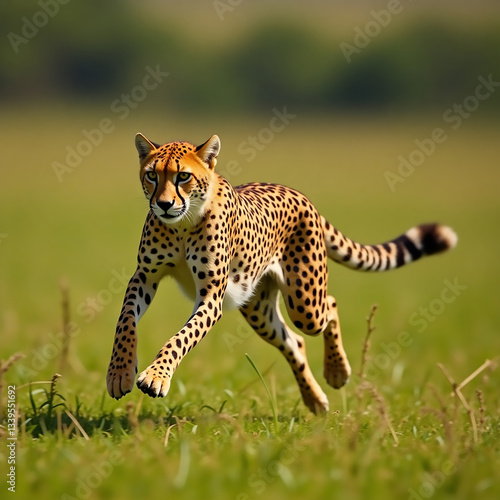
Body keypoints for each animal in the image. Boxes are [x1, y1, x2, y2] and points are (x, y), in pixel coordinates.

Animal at [105, 134, 458, 414]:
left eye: (182, 177)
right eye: (152, 175)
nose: (164, 204)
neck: (181, 223)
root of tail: (297, 192)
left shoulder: (211, 296)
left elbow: (180, 339)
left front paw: (155, 376)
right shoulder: (144, 277)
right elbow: (125, 324)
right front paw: (120, 372)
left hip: (304, 301)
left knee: (329, 306)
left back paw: (336, 371)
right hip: (257, 307)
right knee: (295, 342)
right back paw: (314, 399)